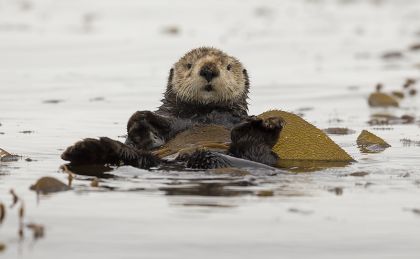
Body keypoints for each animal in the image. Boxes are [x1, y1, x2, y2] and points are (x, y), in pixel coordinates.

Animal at [61, 47, 286, 170]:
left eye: (228, 67)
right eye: (189, 65)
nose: (209, 70)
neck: (205, 114)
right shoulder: (172, 117)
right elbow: (152, 129)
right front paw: (142, 121)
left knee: (255, 152)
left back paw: (259, 129)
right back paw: (86, 149)